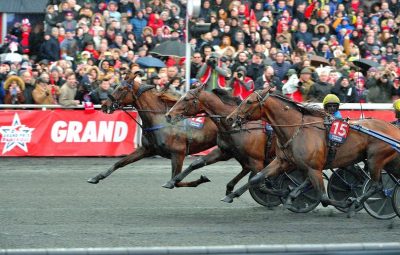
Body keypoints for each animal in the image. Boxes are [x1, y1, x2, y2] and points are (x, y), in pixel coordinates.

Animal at [87, 70, 217, 186]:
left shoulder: (178, 153)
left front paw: (202, 179)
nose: (104, 106)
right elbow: (120, 163)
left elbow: (176, 180)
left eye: (121, 89)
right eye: (116, 86)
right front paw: (96, 177)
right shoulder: (147, 149)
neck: (160, 120)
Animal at [223, 88, 400, 212]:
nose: (230, 118)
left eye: (249, 101)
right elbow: (256, 178)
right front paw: (230, 195)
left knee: (376, 185)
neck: (296, 128)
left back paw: (357, 202)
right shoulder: (283, 162)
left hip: (375, 159)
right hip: (389, 162)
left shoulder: (314, 168)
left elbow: (323, 196)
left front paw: (347, 202)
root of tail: (392, 128)